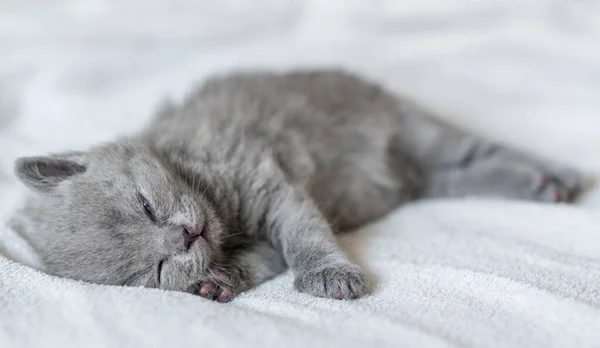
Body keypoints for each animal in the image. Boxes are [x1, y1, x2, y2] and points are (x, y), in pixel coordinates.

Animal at [14, 68, 584, 302]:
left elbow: (305, 235)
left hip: (417, 131)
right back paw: (542, 186)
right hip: (423, 178)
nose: (184, 238)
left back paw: (561, 177)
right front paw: (216, 283)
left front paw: (329, 277)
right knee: (465, 173)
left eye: (146, 205)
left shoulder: (274, 186)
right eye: (151, 270)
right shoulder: (254, 238)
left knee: (485, 149)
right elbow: (259, 259)